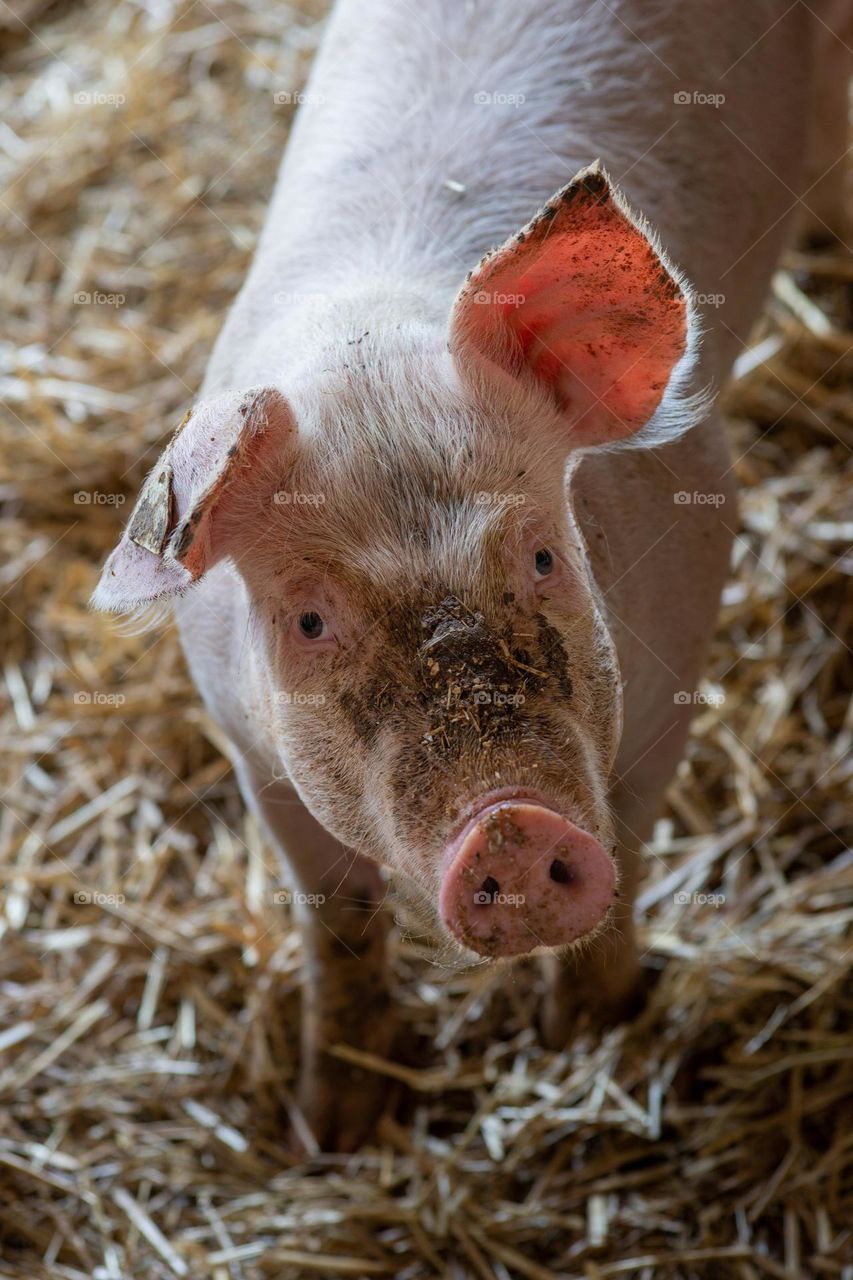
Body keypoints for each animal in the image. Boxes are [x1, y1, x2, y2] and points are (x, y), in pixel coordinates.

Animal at [94, 0, 845, 1146]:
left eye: (540, 554)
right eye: (309, 621)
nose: (510, 823)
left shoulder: (681, 634)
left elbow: (630, 838)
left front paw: (590, 1033)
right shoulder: (250, 745)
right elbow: (337, 922)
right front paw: (335, 1125)